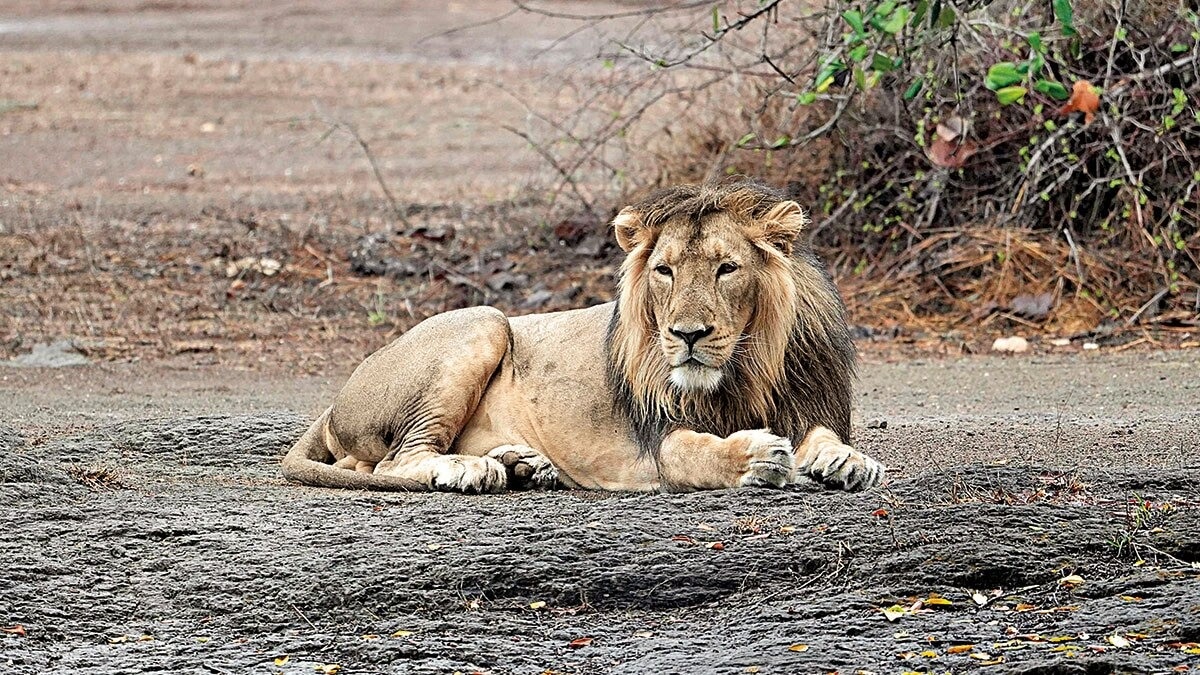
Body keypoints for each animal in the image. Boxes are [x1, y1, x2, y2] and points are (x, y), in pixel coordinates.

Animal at [281, 181, 885, 493]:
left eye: (726, 268)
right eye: (664, 271)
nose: (687, 335)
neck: (746, 370)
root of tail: (336, 399)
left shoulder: (810, 404)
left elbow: (826, 436)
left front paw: (847, 461)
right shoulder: (657, 442)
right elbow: (699, 454)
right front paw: (758, 456)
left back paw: (524, 465)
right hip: (484, 320)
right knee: (391, 462)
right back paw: (471, 469)